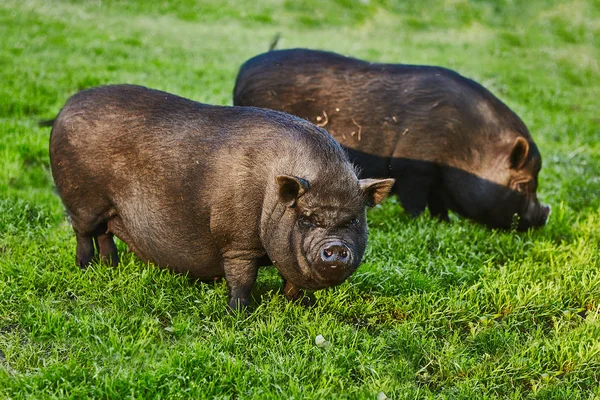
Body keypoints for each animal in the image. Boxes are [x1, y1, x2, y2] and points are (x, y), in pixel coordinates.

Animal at [47, 84, 394, 310]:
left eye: (353, 221)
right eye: (307, 219)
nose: (335, 248)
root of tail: (65, 107)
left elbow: (290, 277)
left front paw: (301, 305)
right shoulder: (237, 241)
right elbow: (242, 278)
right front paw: (240, 312)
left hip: (109, 209)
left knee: (105, 234)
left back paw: (111, 266)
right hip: (82, 200)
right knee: (84, 232)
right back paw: (85, 267)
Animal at [232, 48, 552, 230]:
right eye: (524, 184)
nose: (544, 215)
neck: (466, 146)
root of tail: (243, 70)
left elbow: (439, 205)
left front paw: (444, 223)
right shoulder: (413, 167)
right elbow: (415, 201)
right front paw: (420, 222)